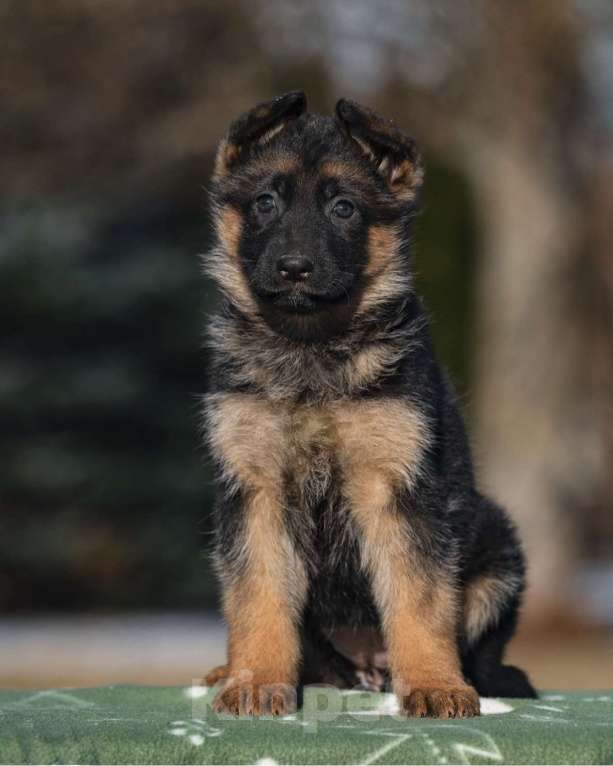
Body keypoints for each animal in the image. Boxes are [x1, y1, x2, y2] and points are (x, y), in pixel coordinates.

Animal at [202, 91, 536, 720]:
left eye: (344, 208)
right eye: (264, 203)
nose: (294, 268)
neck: (312, 346)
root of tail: (365, 667)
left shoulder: (397, 489)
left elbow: (419, 597)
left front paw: (434, 684)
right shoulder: (257, 489)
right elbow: (258, 592)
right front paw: (256, 680)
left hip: (498, 550)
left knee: (476, 647)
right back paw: (232, 668)